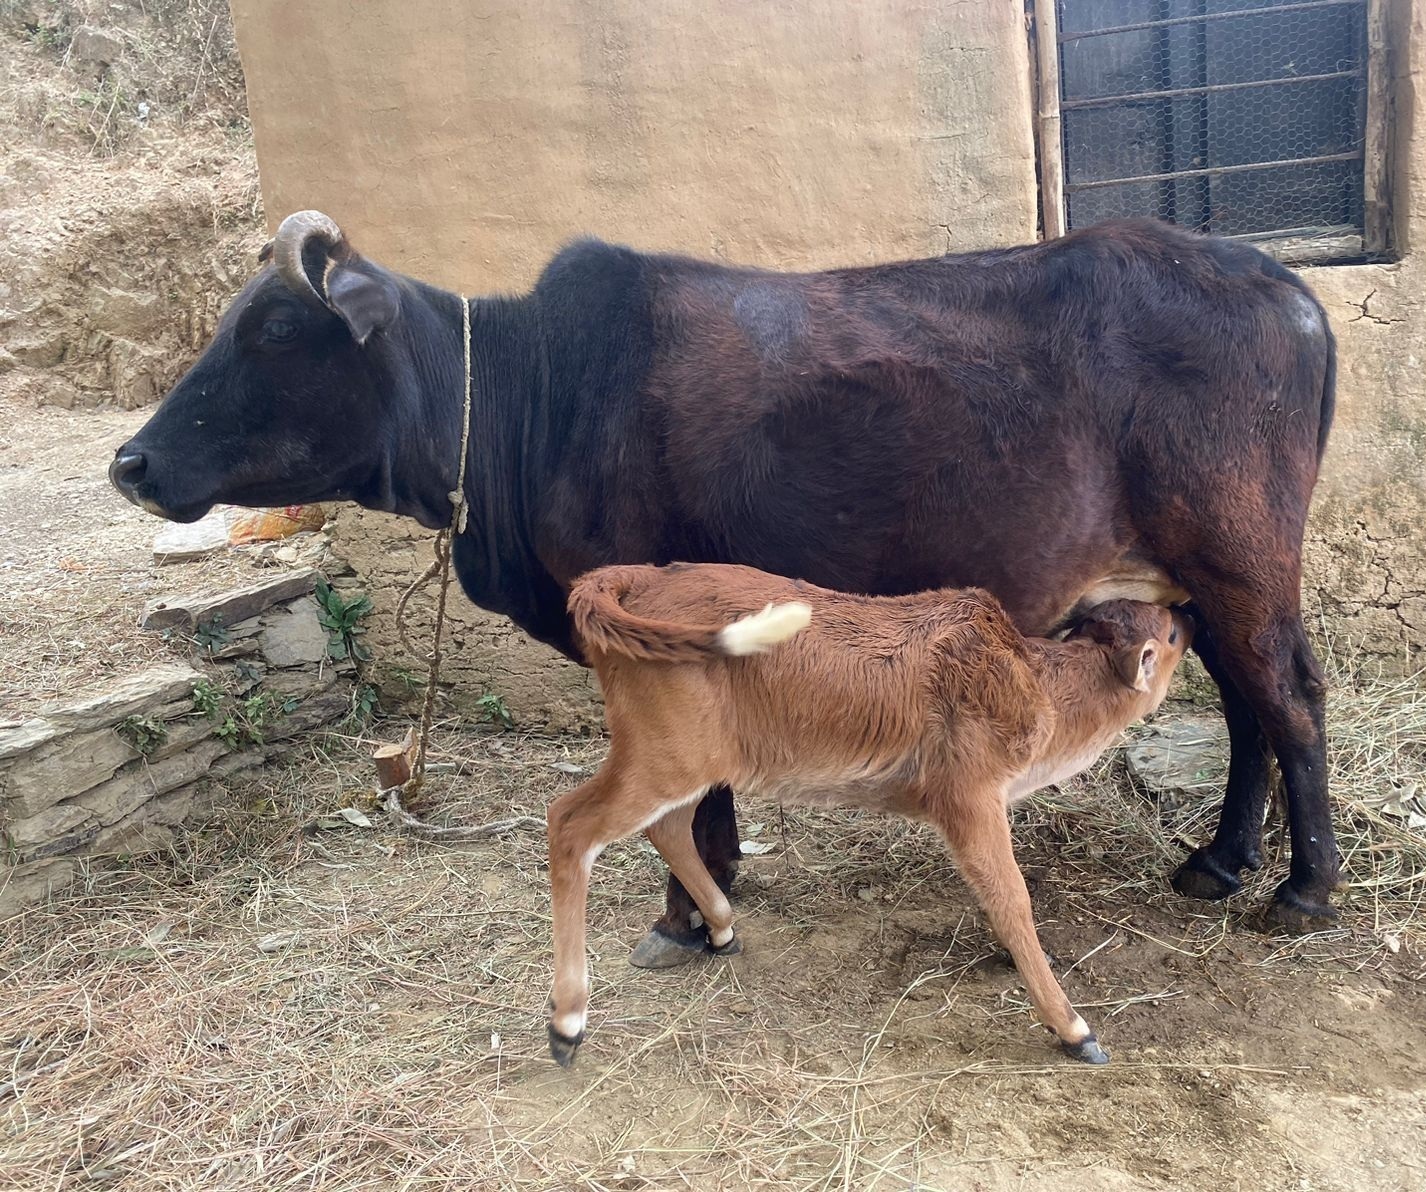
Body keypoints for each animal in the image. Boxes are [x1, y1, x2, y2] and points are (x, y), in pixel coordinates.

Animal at [110, 210, 1340, 965]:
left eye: (276, 327)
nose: (132, 462)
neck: (533, 394)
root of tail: (1276, 277)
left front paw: (685, 915)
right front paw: (719, 885)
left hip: (1241, 561)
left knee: (1288, 703)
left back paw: (1302, 890)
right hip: (1199, 582)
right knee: (1246, 709)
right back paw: (1219, 862)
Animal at [545, 563, 1193, 1066]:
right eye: (1169, 633)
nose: (1189, 617)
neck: (1037, 686)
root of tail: (633, 576)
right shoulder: (970, 797)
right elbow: (1012, 897)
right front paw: (1074, 1029)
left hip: (687, 763)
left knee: (667, 827)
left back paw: (724, 929)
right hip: (663, 756)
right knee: (569, 822)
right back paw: (566, 1024)